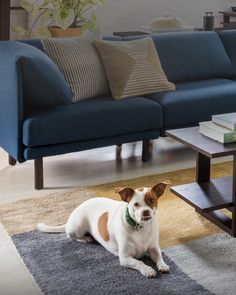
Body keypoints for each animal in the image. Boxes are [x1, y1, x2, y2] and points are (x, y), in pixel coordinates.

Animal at [37, 182, 170, 278]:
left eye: (152, 200)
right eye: (136, 204)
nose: (145, 212)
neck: (141, 228)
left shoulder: (154, 249)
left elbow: (159, 256)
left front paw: (162, 265)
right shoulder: (125, 258)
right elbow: (139, 262)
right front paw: (148, 270)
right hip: (77, 228)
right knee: (70, 235)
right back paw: (85, 238)